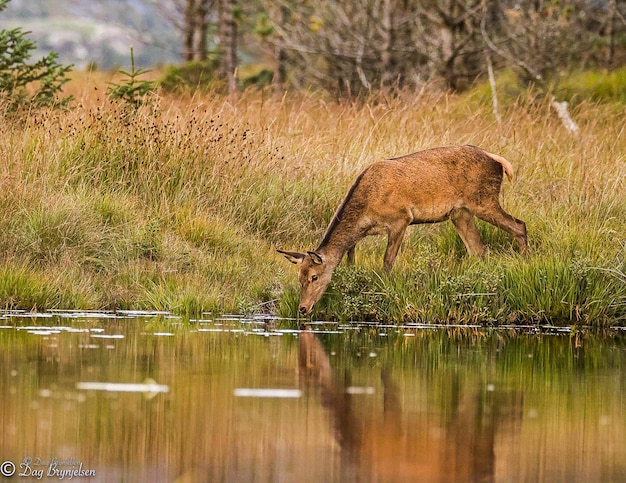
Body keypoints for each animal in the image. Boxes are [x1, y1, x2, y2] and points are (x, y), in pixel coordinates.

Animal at [278, 146, 528, 316]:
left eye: (314, 276)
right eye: (299, 277)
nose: (302, 308)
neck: (365, 212)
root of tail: (498, 160)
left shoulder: (401, 218)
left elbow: (388, 261)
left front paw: (384, 289)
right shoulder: (359, 236)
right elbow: (350, 259)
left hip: (483, 200)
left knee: (519, 225)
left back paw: (525, 260)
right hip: (460, 212)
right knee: (478, 249)